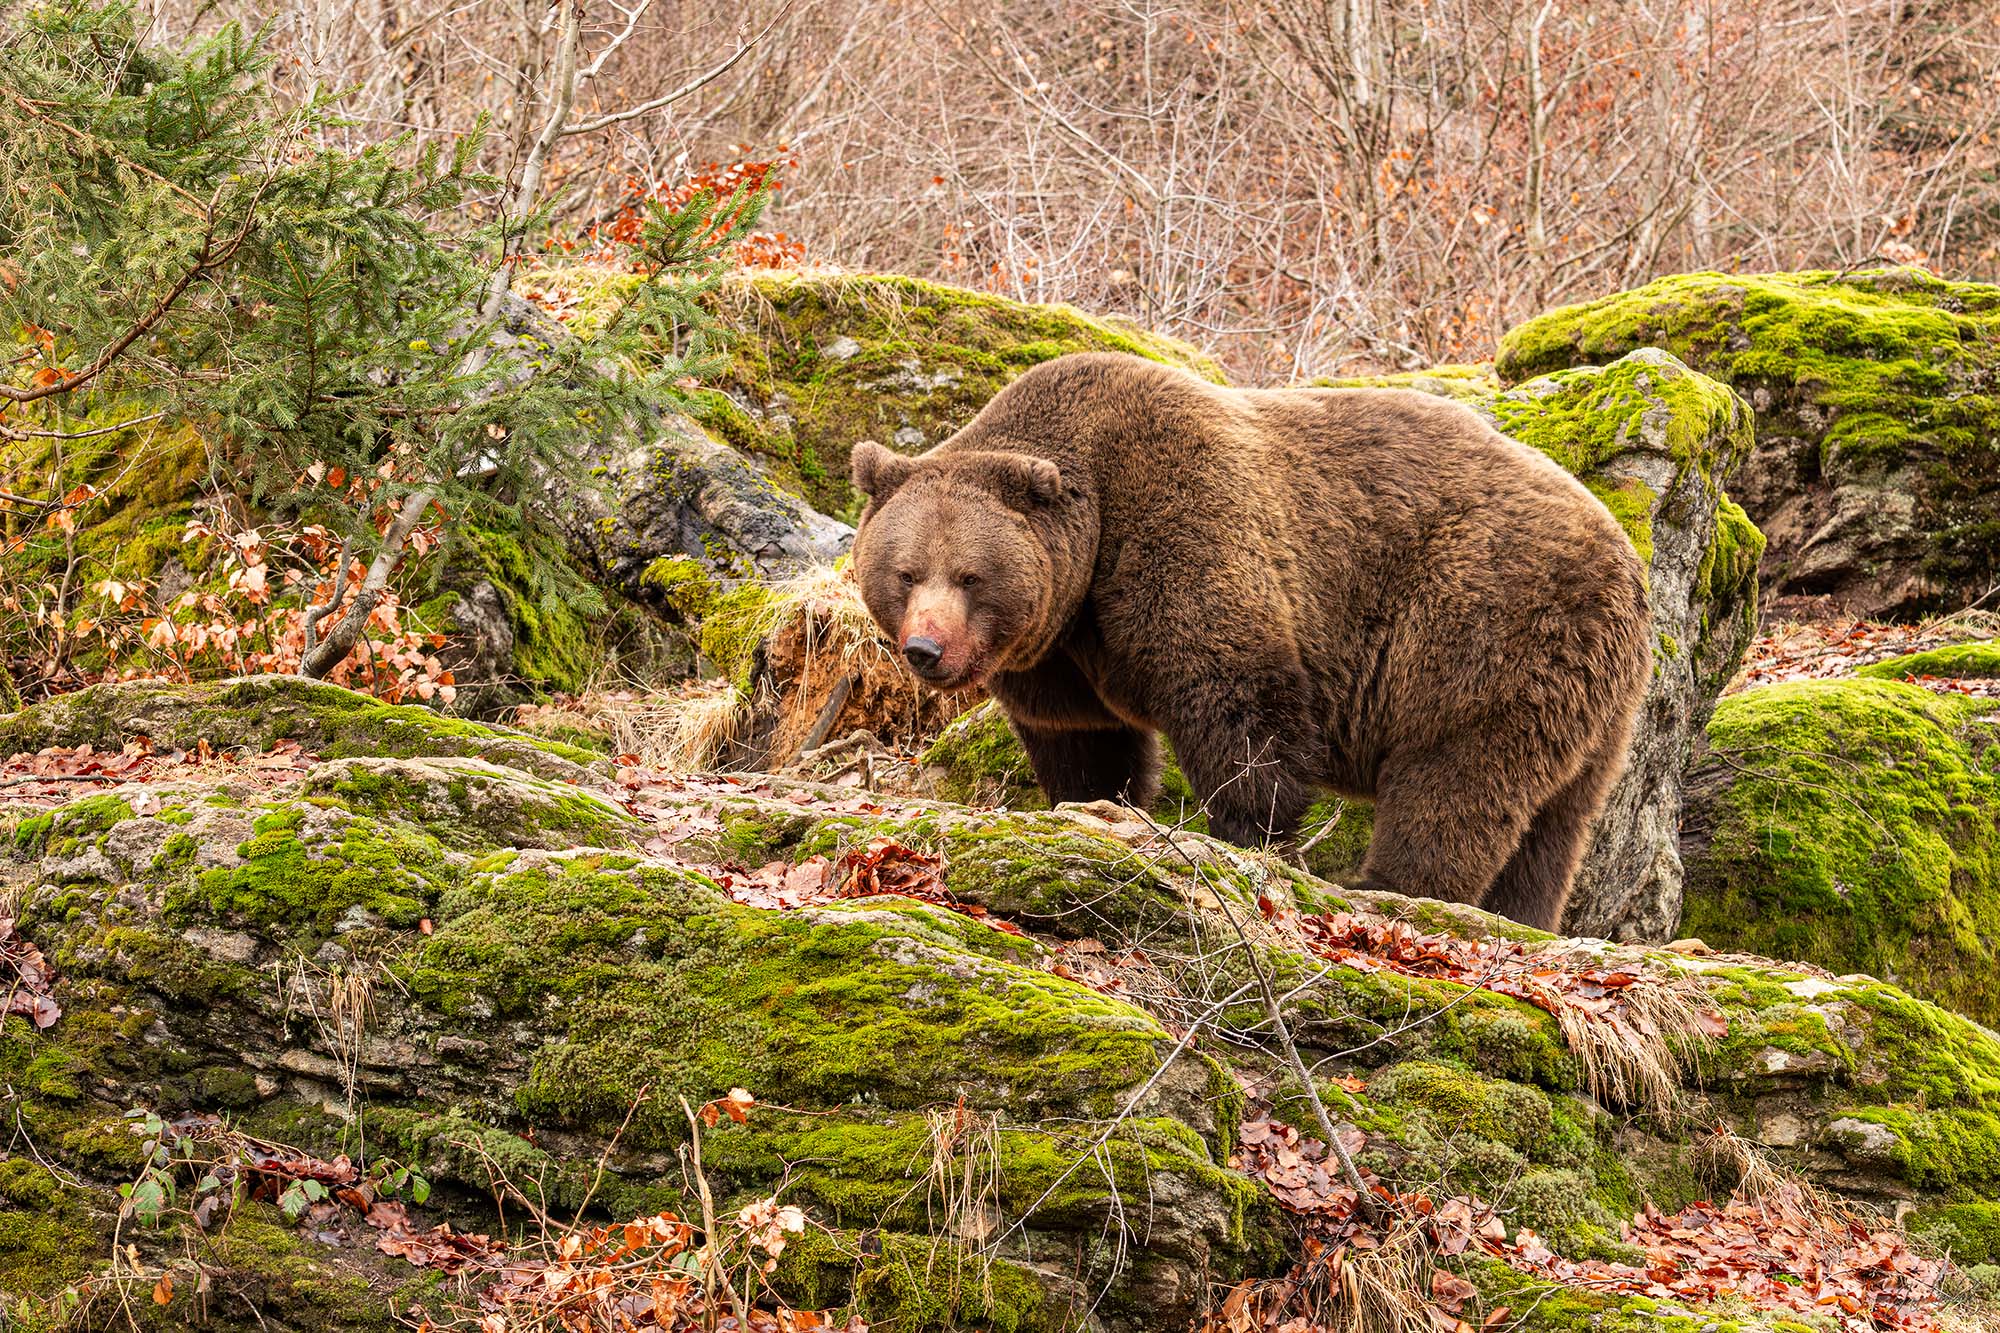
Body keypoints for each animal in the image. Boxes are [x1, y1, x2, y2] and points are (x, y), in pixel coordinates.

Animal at [852, 352, 1648, 932]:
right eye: (904, 572)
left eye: (970, 575)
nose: (925, 650)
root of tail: (1622, 550)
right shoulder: (1060, 659)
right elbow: (1086, 741)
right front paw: (1092, 802)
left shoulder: (1184, 528)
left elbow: (1236, 702)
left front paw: (1243, 831)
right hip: (1596, 702)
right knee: (1556, 823)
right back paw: (1526, 911)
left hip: (1485, 620)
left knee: (1456, 772)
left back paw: (1391, 881)